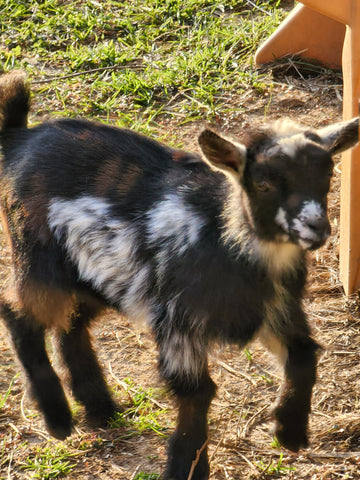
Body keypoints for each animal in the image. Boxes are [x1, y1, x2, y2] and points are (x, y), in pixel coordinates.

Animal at [0, 72, 358, 480]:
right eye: (264, 184)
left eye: (327, 175)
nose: (317, 228)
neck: (224, 239)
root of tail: (18, 138)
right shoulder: (178, 322)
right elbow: (196, 393)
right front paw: (186, 464)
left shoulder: (277, 309)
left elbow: (303, 355)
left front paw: (290, 432)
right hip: (40, 262)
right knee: (18, 313)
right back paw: (58, 418)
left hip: (97, 278)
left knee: (71, 324)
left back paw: (99, 407)